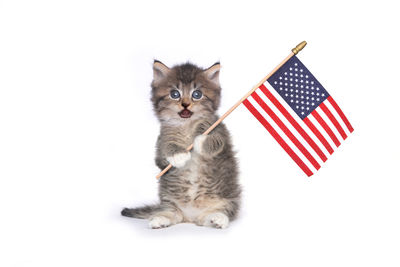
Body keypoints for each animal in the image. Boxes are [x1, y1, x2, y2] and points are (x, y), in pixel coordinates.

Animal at [121, 60, 241, 230]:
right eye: (175, 94)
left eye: (197, 94)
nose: (185, 104)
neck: (186, 125)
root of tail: (191, 217)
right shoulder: (161, 141)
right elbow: (165, 149)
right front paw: (178, 155)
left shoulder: (219, 131)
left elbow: (214, 141)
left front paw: (199, 140)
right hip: (169, 201)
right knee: (172, 213)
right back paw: (160, 219)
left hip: (228, 200)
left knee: (220, 212)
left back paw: (217, 218)